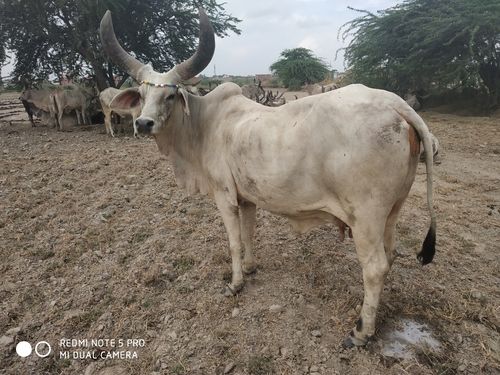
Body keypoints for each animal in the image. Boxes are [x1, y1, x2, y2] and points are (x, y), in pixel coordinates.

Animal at [99, 9, 436, 350]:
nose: (143, 123)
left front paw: (235, 283)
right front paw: (250, 268)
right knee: (390, 256)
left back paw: (361, 331)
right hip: (391, 211)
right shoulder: (247, 197)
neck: (204, 124)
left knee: (375, 268)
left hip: (366, 217)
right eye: (142, 94)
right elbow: (249, 235)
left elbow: (234, 241)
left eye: (169, 94)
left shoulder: (224, 196)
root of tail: (396, 105)